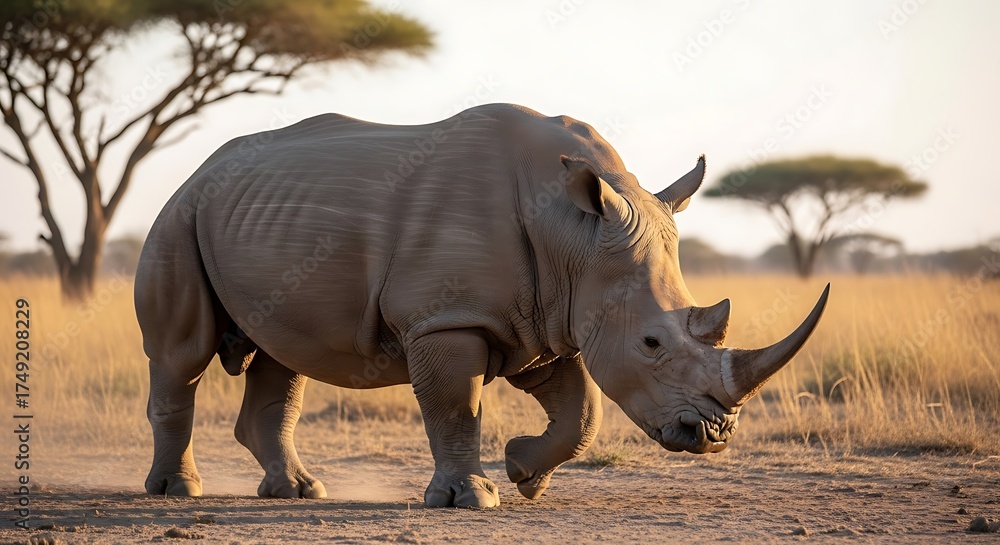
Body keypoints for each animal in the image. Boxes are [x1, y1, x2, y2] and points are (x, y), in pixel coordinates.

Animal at [136, 103, 828, 508]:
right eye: (651, 344)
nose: (712, 435)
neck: (573, 234)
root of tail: (199, 170)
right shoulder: (447, 319)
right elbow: (456, 406)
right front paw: (472, 498)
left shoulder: (543, 318)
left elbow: (582, 410)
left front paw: (526, 474)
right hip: (180, 215)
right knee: (182, 356)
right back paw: (178, 492)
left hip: (257, 218)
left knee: (283, 355)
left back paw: (298, 493)